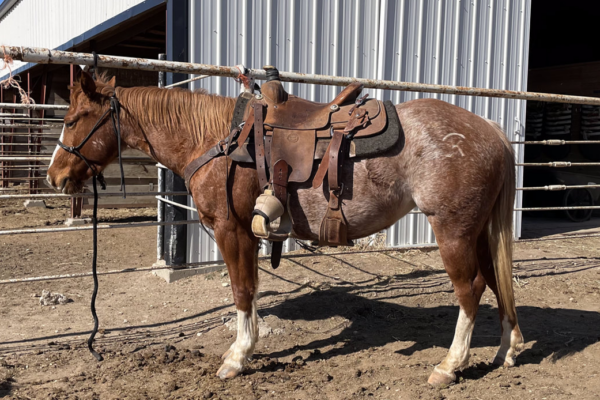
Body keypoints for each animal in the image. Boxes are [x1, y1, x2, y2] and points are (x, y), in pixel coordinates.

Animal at [48, 71, 524, 384]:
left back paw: (450, 365)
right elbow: (252, 289)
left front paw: (238, 356)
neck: (219, 142)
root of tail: (491, 131)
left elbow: (242, 290)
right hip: (479, 231)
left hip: (453, 231)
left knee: (471, 289)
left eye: (71, 120)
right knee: (496, 281)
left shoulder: (231, 229)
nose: (54, 177)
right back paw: (507, 349)